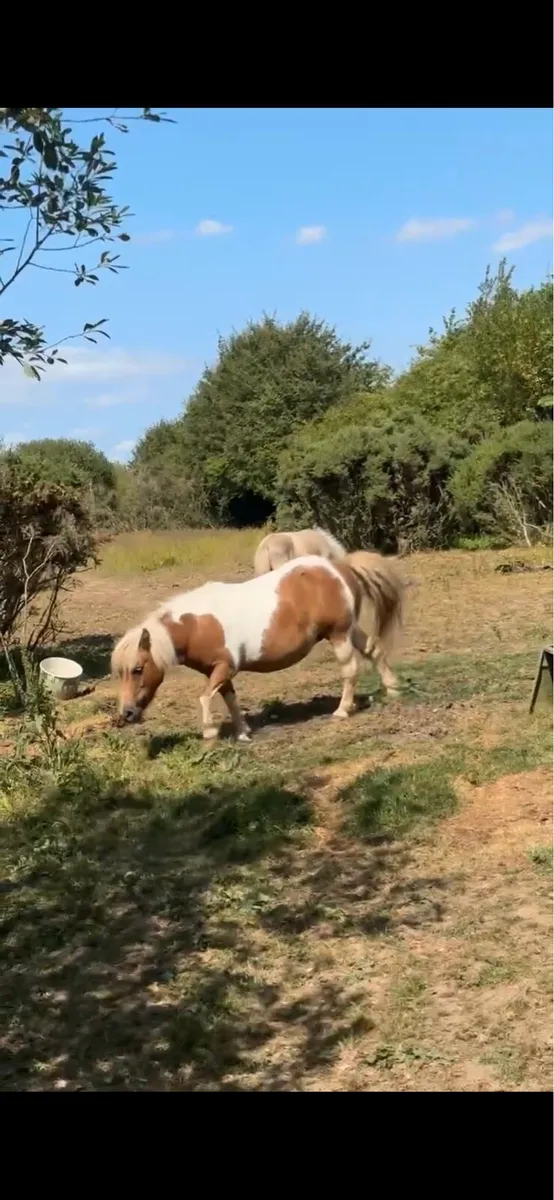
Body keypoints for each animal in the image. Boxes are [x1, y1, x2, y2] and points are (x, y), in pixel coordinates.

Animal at [111, 552, 404, 742]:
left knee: (350, 670)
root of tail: (340, 568)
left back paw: (343, 710)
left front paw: (209, 732)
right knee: (374, 650)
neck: (196, 624)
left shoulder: (225, 667)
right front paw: (243, 733)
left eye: (138, 669)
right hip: (349, 630)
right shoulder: (219, 672)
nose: (126, 714)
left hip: (339, 635)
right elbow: (229, 699)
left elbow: (205, 697)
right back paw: (393, 690)